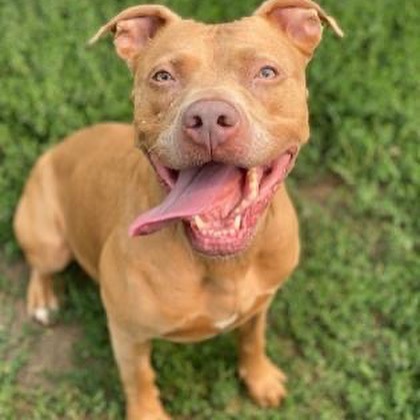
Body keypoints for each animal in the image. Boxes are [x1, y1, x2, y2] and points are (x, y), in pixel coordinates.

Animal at [13, 1, 342, 418]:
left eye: (266, 72)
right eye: (163, 76)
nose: (209, 118)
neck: (221, 263)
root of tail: (57, 148)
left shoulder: (261, 303)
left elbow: (252, 340)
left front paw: (260, 378)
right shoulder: (127, 332)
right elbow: (139, 378)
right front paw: (147, 413)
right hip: (49, 239)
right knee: (41, 266)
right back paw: (43, 299)